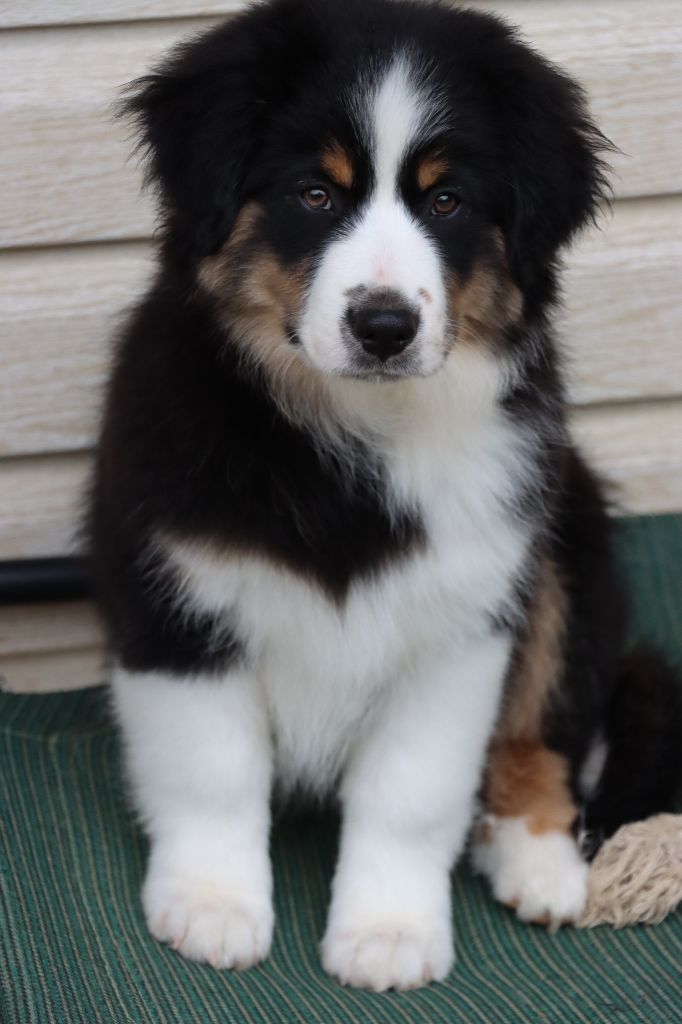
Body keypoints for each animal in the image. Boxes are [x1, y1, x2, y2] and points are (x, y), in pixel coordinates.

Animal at [88, 0, 682, 991]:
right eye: (315, 195)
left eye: (446, 201)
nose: (383, 326)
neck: (353, 433)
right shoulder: (177, 593)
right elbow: (212, 771)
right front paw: (213, 907)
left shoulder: (461, 622)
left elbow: (411, 792)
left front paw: (388, 933)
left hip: (566, 543)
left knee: (548, 726)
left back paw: (538, 860)